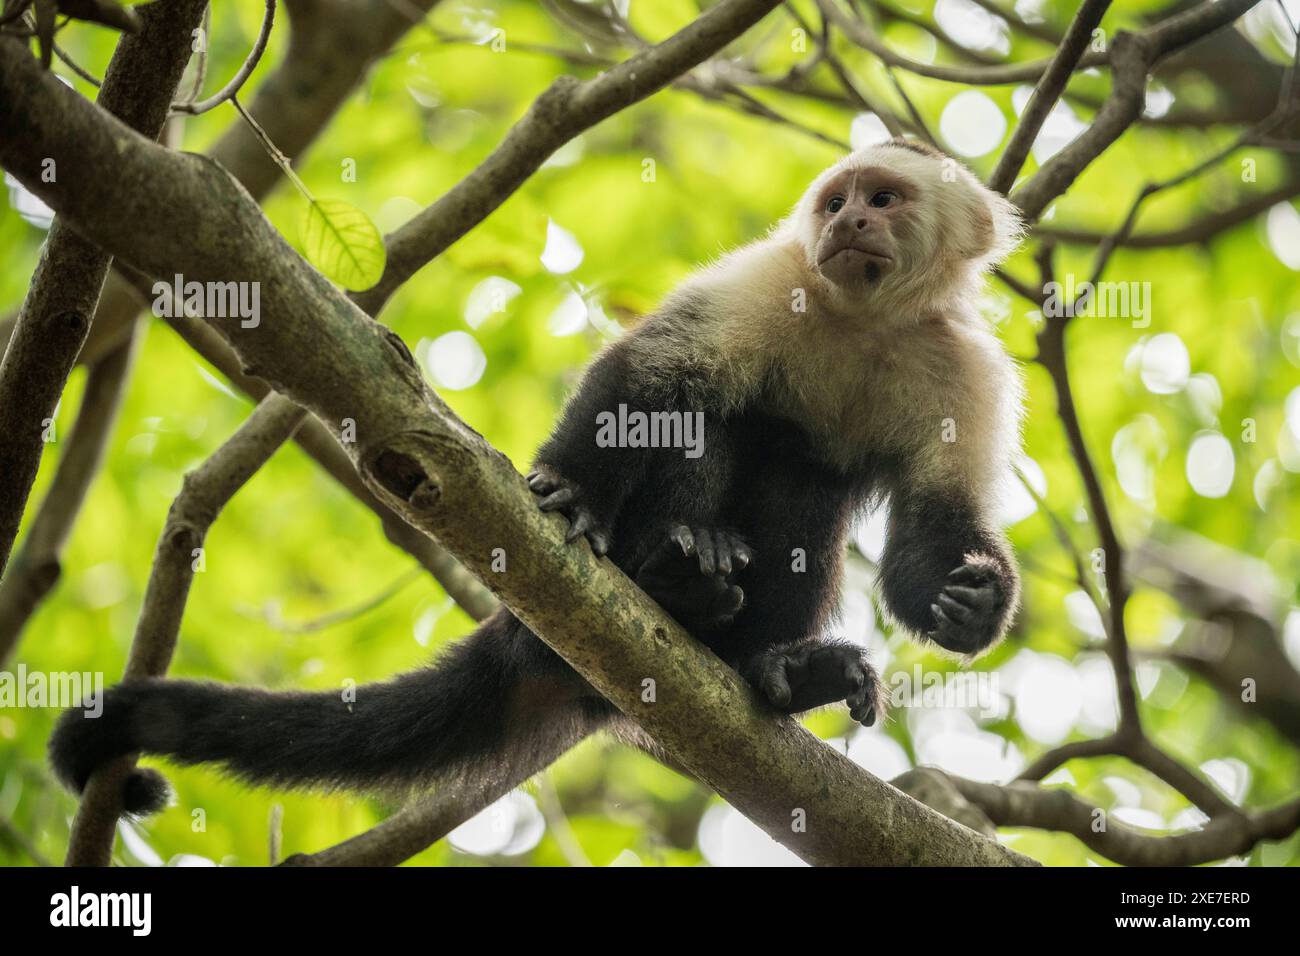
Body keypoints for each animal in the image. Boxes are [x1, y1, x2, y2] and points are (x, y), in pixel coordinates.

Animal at [49, 138, 1024, 817]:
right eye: (836, 200)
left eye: (884, 198)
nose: (846, 223)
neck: (862, 321)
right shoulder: (769, 277)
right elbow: (648, 385)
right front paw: (574, 493)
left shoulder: (963, 366)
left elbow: (932, 528)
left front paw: (972, 603)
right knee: (715, 420)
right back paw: (675, 576)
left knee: (806, 487)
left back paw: (771, 666)